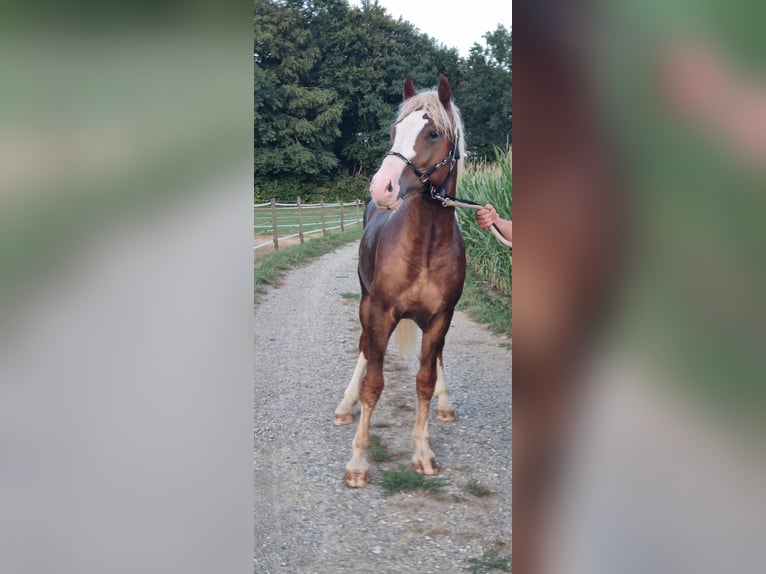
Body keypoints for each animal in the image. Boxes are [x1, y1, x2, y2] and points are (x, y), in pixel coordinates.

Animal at [333, 74, 467, 487]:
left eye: (433, 133)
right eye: (395, 131)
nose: (382, 187)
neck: (425, 246)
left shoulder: (441, 318)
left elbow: (425, 378)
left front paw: (422, 452)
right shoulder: (380, 312)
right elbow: (373, 384)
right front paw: (358, 462)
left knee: (436, 358)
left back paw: (445, 403)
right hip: (365, 305)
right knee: (364, 349)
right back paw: (344, 405)